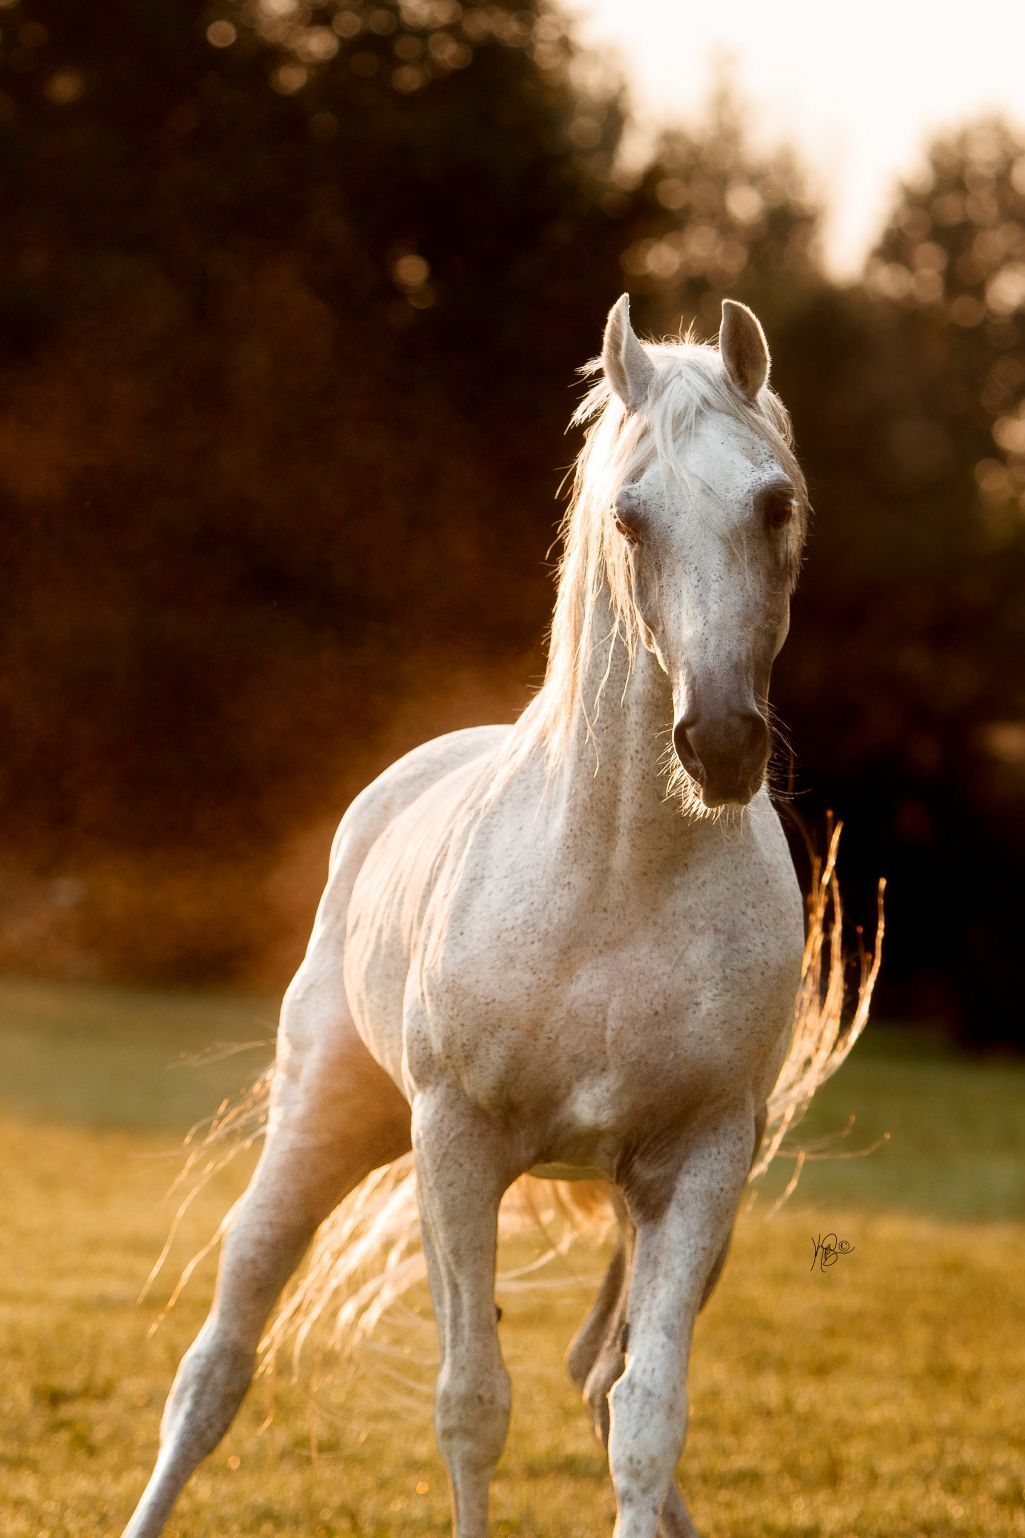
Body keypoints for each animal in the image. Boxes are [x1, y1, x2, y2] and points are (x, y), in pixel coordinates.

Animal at [122, 294, 833, 1538]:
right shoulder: (455, 1144)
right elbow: (470, 1403)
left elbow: (645, 1413)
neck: (615, 878)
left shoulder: (700, 1164)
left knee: (599, 1374)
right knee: (215, 1363)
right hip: (322, 1126)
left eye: (772, 502)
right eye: (629, 517)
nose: (718, 742)